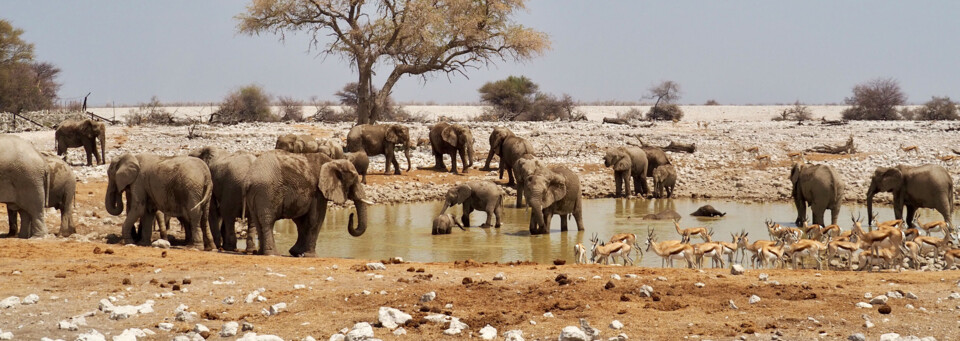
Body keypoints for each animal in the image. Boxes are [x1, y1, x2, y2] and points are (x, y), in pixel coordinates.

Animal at [244, 149, 372, 255]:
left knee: (258, 222)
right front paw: (311, 255)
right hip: (266, 192)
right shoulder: (317, 192)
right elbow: (316, 219)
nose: (351, 215)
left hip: (255, 195)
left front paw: (296, 252)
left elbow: (301, 221)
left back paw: (260, 253)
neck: (333, 162)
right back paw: (272, 254)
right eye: (354, 180)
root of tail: (249, 179)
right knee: (268, 221)